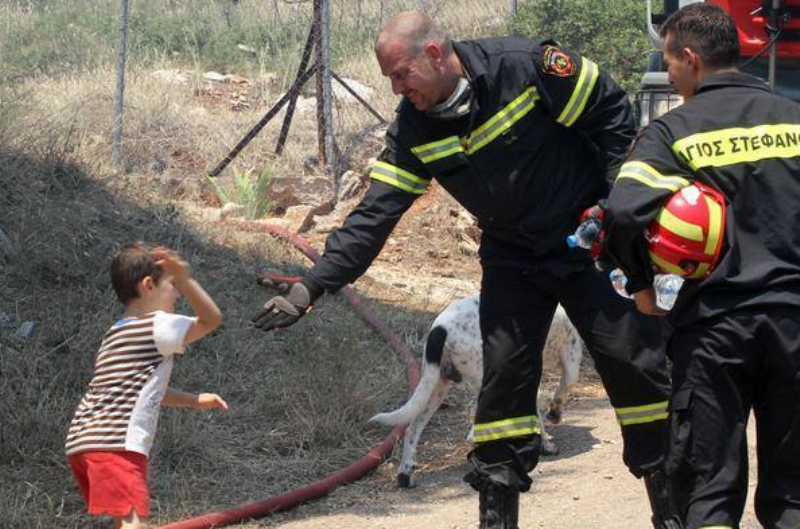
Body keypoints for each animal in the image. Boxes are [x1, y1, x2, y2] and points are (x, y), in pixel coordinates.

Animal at [372, 292, 584, 486]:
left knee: (412, 429)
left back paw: (405, 474)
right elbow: (561, 392)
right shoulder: (570, 358)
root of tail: (441, 328)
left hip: (435, 385)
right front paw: (549, 430)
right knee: (473, 433)